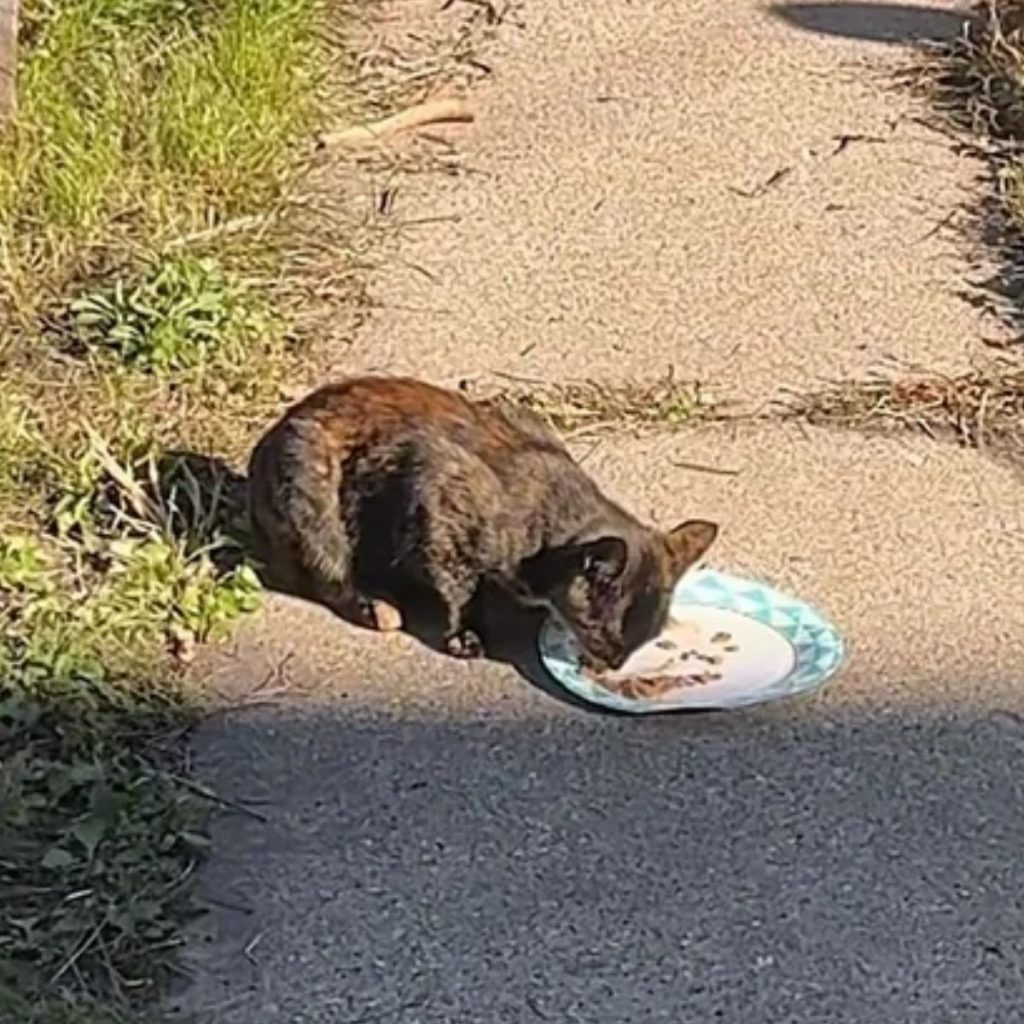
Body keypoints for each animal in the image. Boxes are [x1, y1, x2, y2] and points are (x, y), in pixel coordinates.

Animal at [245, 376, 720, 671]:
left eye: (646, 642)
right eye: (605, 637)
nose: (615, 667)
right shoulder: (439, 501)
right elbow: (462, 585)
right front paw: (467, 631)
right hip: (312, 483)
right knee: (325, 570)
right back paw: (375, 602)